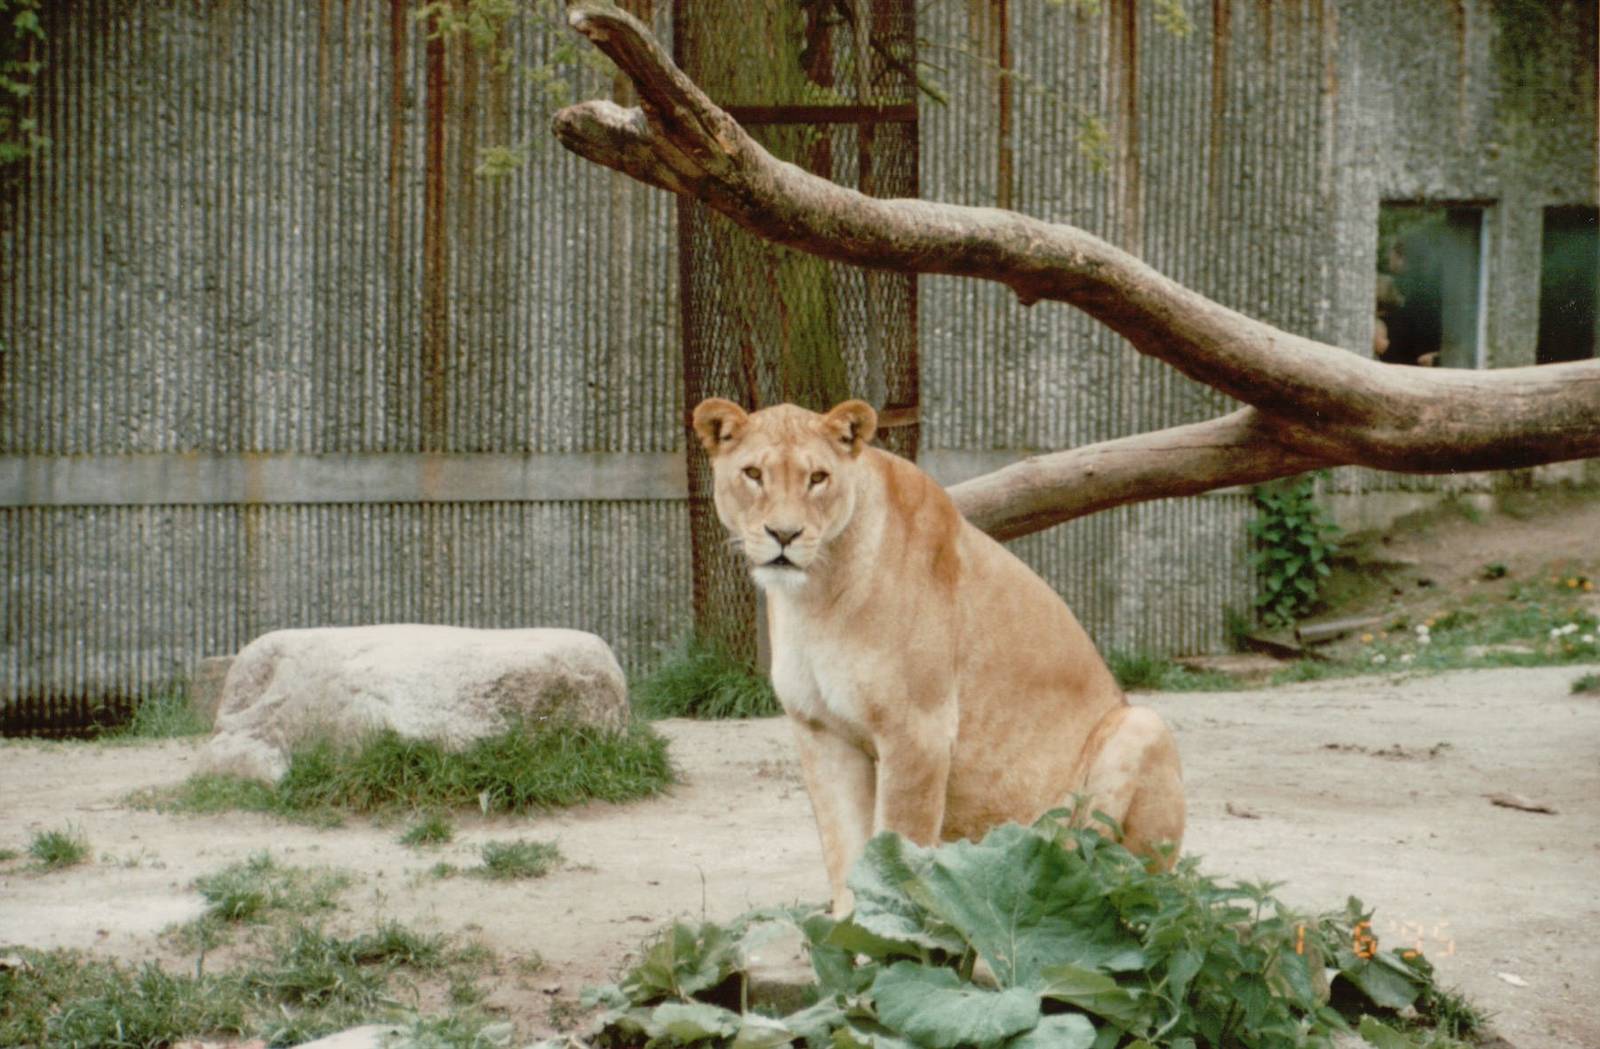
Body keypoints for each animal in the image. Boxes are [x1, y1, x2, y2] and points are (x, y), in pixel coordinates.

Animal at [692, 397, 1185, 915]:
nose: (784, 535)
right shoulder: (822, 731)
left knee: (1124, 880)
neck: (815, 597)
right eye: (753, 473)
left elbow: (897, 847)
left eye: (818, 478)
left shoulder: (917, 731)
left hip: (1143, 727)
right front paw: (845, 925)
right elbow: (845, 851)